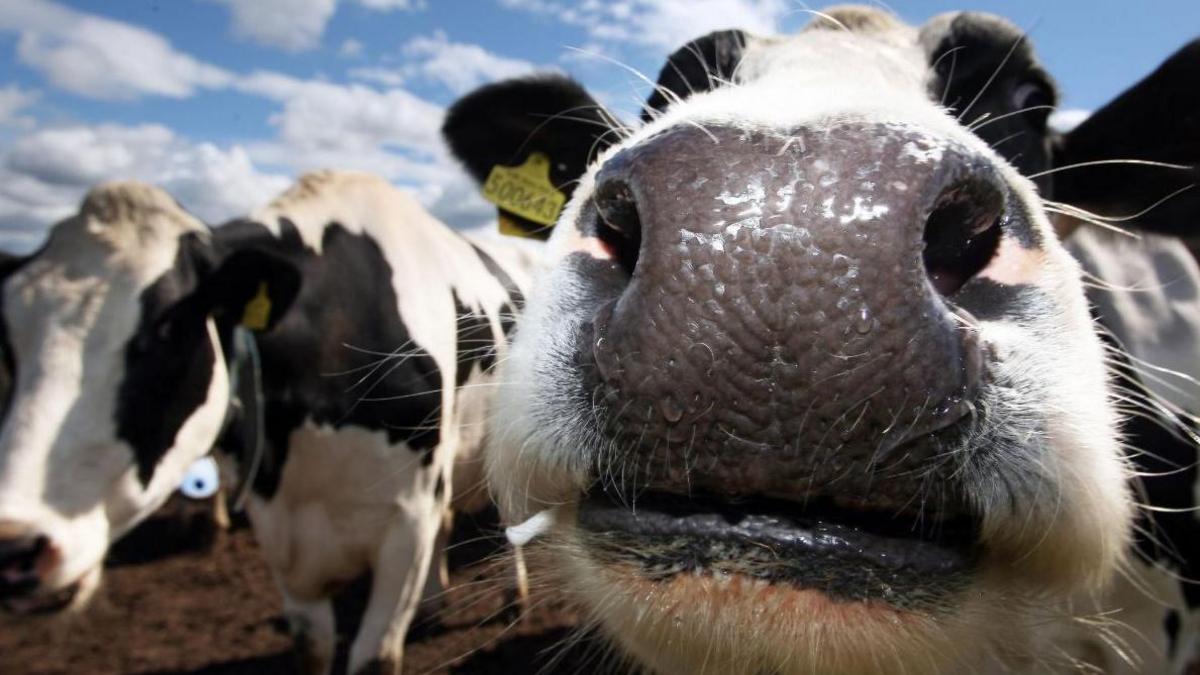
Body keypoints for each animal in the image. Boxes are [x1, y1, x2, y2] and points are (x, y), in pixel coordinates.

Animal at [0, 171, 530, 672]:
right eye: (10, 341)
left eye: (168, 328)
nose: (16, 548)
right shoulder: (281, 527)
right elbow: (311, 647)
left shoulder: (407, 519)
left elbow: (375, 657)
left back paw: (513, 598)